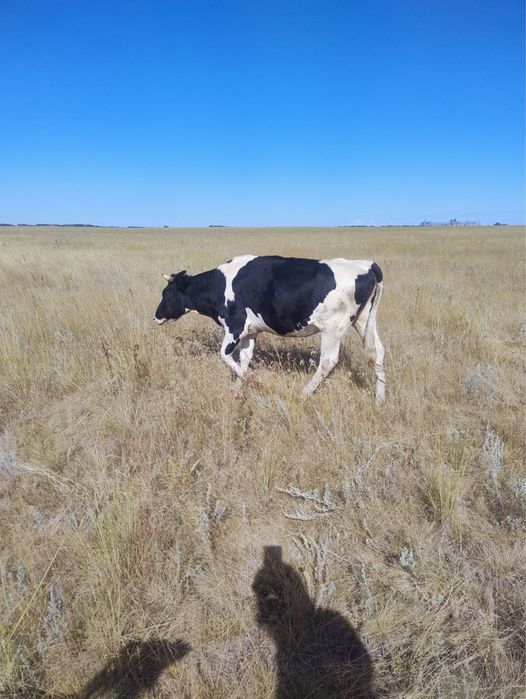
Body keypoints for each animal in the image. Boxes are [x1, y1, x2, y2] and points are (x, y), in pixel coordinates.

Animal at [154, 255, 385, 402]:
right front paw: (237, 388)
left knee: (328, 361)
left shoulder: (234, 326)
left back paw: (303, 394)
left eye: (166, 294)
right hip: (363, 320)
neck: (220, 285)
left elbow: (224, 355)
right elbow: (244, 358)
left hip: (333, 329)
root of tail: (366, 265)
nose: (156, 316)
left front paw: (252, 380)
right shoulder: (250, 332)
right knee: (378, 352)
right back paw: (380, 398)